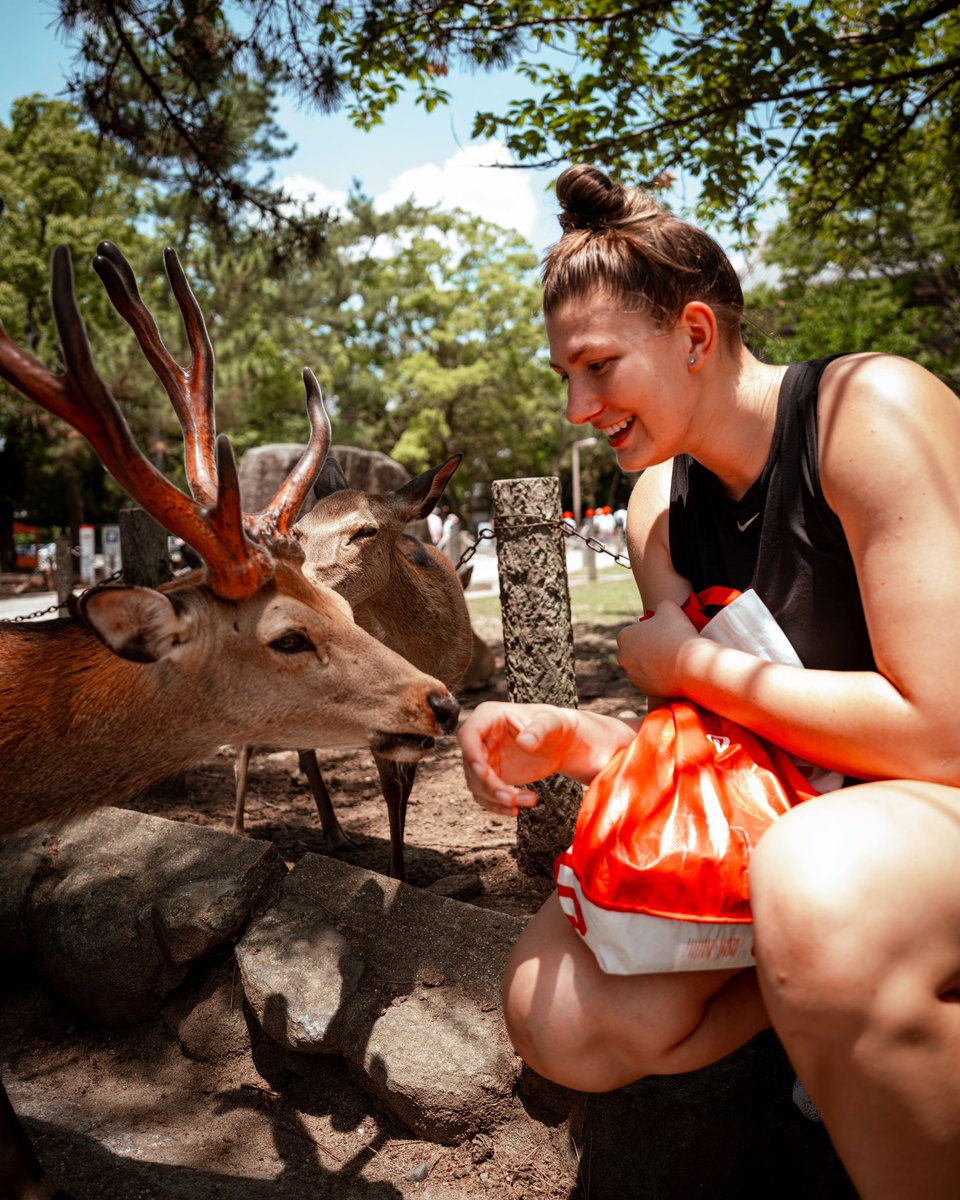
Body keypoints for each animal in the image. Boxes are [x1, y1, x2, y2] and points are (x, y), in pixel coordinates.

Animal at [232, 451, 480, 881]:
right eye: (299, 531)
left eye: (366, 530)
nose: (295, 591)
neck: (421, 653)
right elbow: (390, 785)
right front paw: (397, 875)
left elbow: (406, 785)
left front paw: (401, 870)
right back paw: (237, 829)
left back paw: (337, 834)